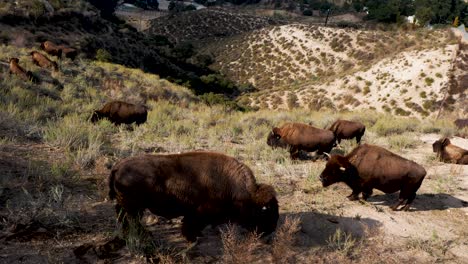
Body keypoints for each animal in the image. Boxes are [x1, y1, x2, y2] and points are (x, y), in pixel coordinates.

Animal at [109, 151, 278, 241]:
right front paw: (194, 237)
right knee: (131, 220)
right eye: (266, 210)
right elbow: (191, 225)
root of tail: (118, 166)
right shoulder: (198, 213)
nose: (272, 229)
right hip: (134, 207)